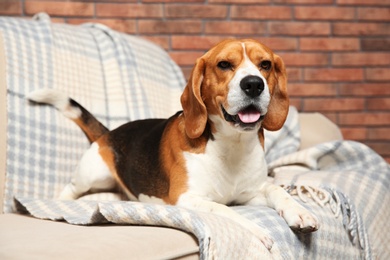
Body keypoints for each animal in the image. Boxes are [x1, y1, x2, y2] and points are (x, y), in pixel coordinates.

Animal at [28, 38, 320, 250]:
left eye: (266, 65)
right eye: (224, 64)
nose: (253, 84)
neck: (231, 144)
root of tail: (108, 133)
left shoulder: (250, 194)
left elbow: (275, 189)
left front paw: (299, 212)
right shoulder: (187, 198)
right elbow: (223, 208)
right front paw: (256, 231)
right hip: (92, 175)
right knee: (70, 188)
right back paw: (61, 201)